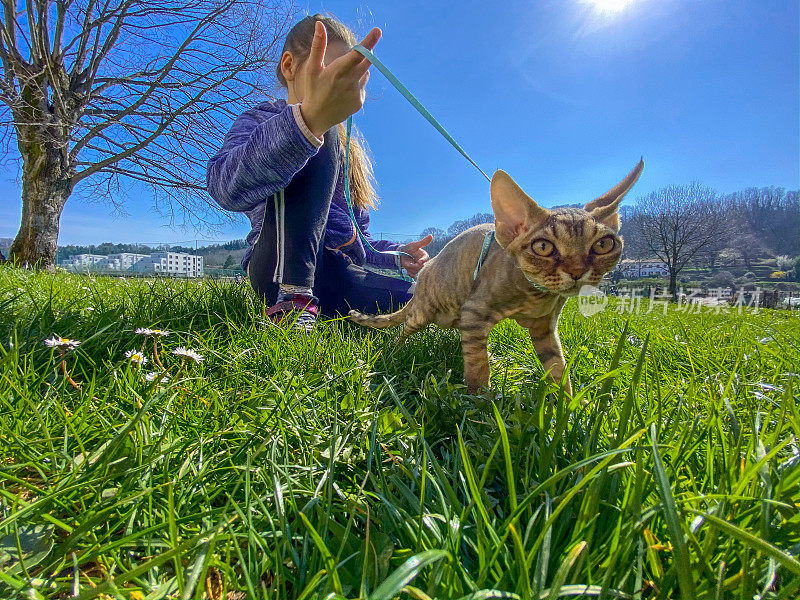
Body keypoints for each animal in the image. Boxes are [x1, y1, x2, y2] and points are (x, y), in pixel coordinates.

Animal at [350, 159, 644, 394]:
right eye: (543, 247)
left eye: (604, 245)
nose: (577, 271)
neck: (539, 295)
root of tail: (424, 273)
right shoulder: (474, 312)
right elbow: (478, 367)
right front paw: (482, 403)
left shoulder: (544, 328)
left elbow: (558, 367)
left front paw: (567, 405)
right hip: (426, 311)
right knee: (406, 328)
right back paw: (394, 352)